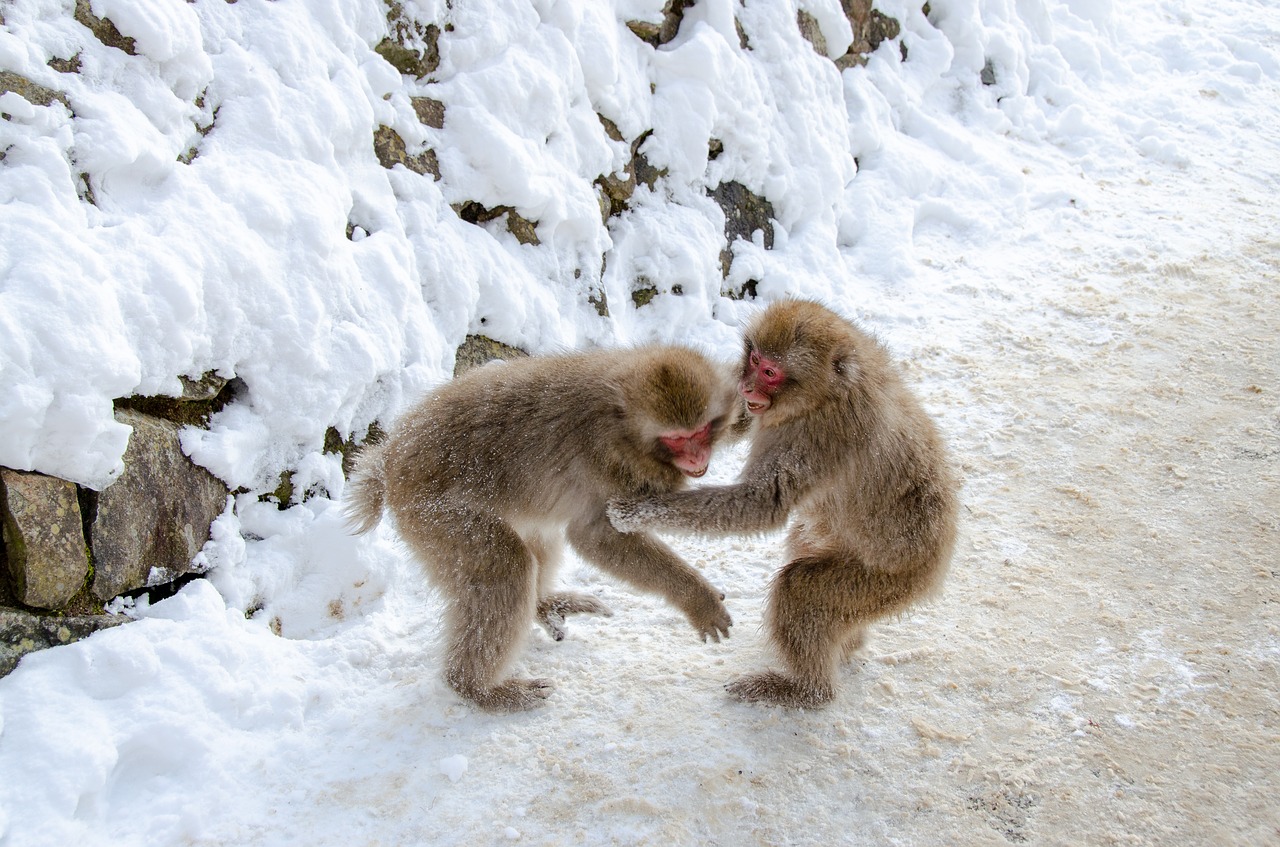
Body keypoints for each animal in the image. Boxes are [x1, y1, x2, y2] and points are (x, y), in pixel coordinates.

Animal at [345, 345, 747, 711]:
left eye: (701, 431)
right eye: (677, 439)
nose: (697, 457)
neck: (625, 428)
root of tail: (390, 456)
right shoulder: (610, 465)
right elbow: (597, 538)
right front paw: (697, 598)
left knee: (537, 540)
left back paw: (543, 605)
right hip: (434, 515)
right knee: (505, 564)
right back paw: (478, 689)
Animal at [604, 300, 957, 711]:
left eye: (771, 373)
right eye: (754, 359)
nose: (746, 385)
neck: (825, 393)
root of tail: (940, 560)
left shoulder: (815, 435)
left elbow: (761, 504)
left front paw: (636, 511)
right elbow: (735, 417)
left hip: (890, 581)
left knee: (799, 588)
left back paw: (806, 690)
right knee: (805, 541)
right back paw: (847, 644)